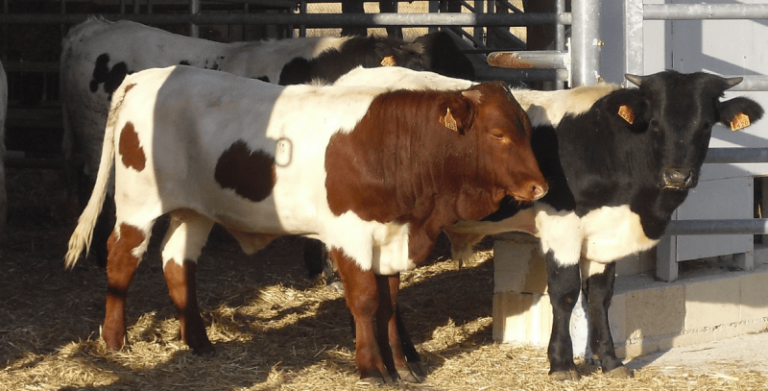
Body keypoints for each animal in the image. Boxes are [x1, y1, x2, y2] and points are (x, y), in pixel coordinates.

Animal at [334, 66, 760, 382]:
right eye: (654, 123)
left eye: (706, 125)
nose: (678, 176)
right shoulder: (562, 226)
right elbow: (566, 293)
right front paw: (562, 364)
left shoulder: (604, 233)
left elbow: (600, 295)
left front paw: (610, 361)